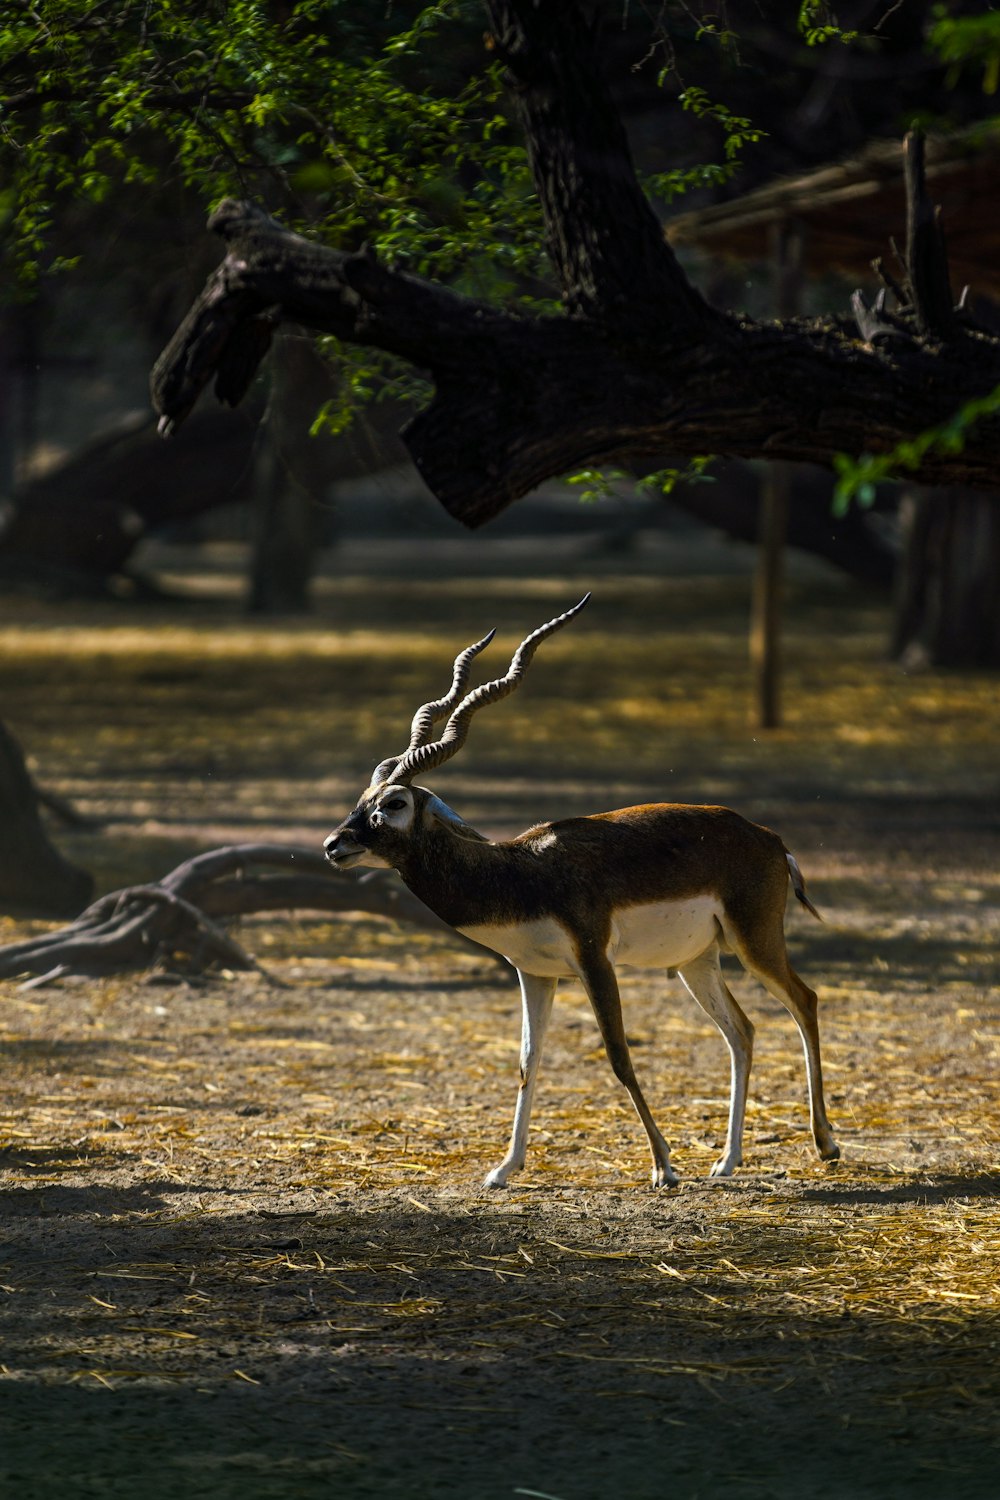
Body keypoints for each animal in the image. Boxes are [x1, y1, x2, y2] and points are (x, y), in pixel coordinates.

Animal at [325, 591, 839, 1188]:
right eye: (363, 797)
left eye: (394, 803)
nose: (333, 845)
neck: (520, 873)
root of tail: (768, 837)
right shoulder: (534, 974)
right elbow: (527, 1063)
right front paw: (504, 1168)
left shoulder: (595, 961)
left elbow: (618, 1056)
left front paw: (664, 1166)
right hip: (698, 960)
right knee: (743, 1031)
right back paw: (727, 1160)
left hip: (754, 941)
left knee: (804, 1001)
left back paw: (826, 1145)